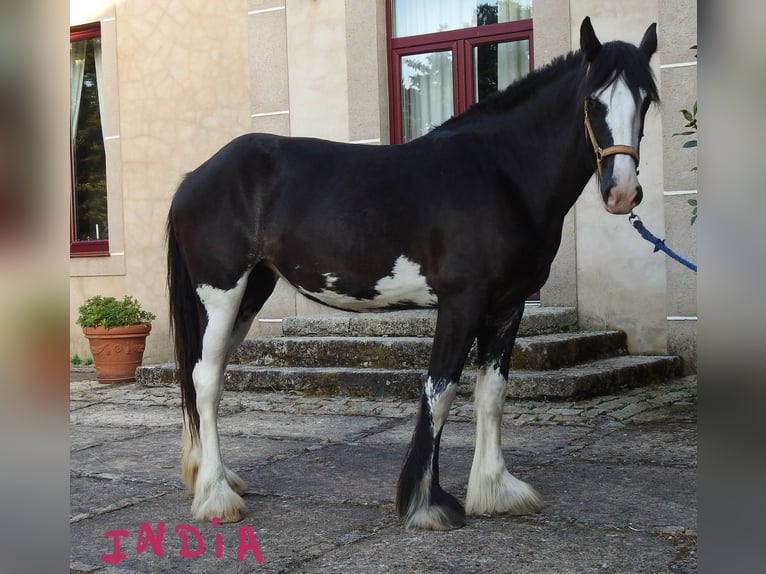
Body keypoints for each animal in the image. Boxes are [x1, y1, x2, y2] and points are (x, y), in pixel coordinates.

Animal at [168, 16, 660, 532]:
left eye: (646, 100)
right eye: (593, 100)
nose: (622, 192)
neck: (500, 173)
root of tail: (193, 178)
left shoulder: (509, 305)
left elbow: (492, 394)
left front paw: (496, 489)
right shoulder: (462, 302)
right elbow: (440, 391)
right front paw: (427, 503)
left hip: (251, 292)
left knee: (212, 375)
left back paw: (219, 478)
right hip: (221, 293)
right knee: (205, 379)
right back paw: (216, 497)